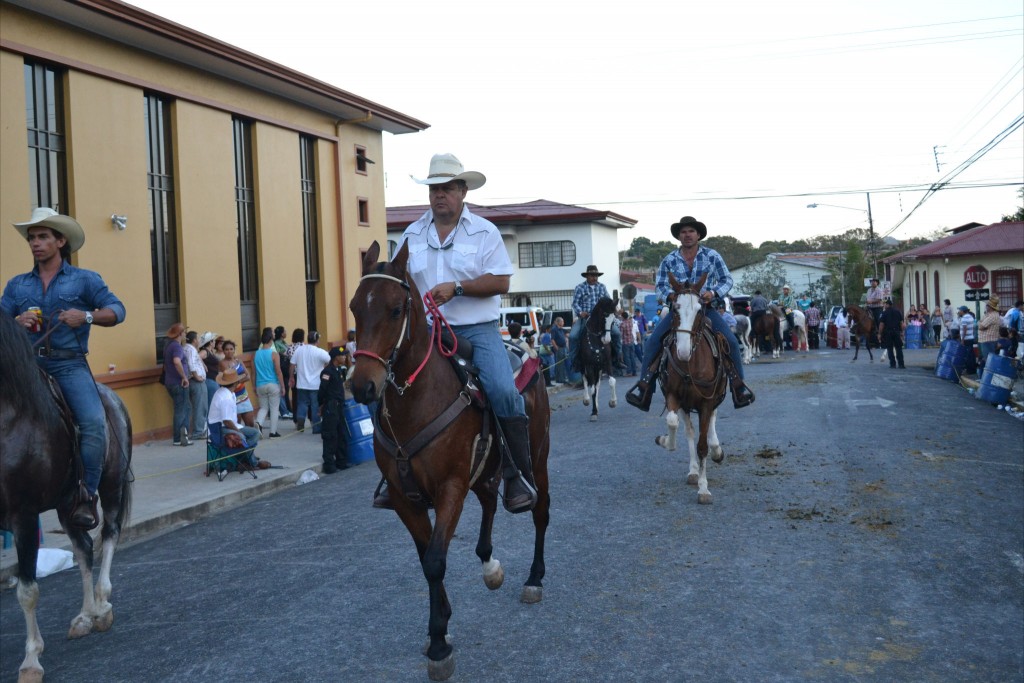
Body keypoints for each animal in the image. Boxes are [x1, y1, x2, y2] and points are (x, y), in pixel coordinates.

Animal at [0, 313, 134, 679]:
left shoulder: (23, 514)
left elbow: (27, 590)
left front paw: (31, 661)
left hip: (111, 486)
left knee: (109, 535)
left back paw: (102, 606)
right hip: (67, 504)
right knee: (84, 548)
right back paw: (86, 616)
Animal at [346, 242, 552, 679]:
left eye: (395, 309)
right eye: (355, 307)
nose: (363, 386)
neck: (417, 401)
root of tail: (525, 350)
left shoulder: (450, 489)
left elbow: (436, 561)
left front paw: (440, 644)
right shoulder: (405, 499)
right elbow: (426, 559)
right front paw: (438, 627)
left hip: (538, 458)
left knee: (540, 510)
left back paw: (534, 578)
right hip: (485, 466)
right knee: (490, 498)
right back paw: (490, 566)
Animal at [655, 274, 729, 505]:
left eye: (699, 309)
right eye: (675, 309)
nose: (683, 351)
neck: (690, 364)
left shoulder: (706, 401)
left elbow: (702, 445)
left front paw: (704, 490)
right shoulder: (674, 396)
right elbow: (673, 423)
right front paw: (666, 442)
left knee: (711, 423)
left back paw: (716, 450)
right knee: (688, 430)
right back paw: (694, 470)